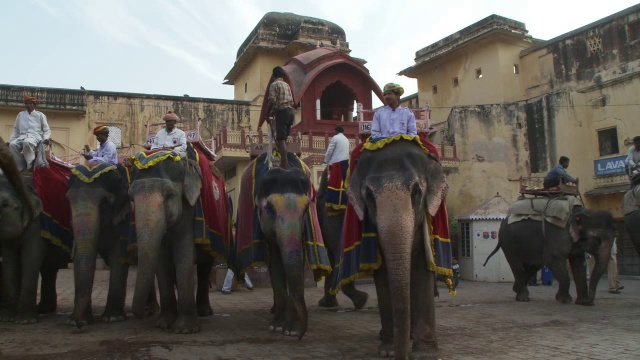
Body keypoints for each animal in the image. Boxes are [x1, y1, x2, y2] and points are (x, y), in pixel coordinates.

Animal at [0, 138, 72, 324]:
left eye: (4, 205)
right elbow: (9, 259)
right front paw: (9, 318)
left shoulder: (39, 223)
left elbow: (31, 256)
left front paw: (24, 321)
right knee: (50, 267)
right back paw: (44, 309)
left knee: (49, 266)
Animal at [234, 153, 330, 340]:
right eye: (270, 209)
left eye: (306, 208)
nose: (300, 336)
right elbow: (276, 263)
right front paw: (278, 327)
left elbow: (297, 262)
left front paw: (291, 330)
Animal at [328, 136, 452, 358]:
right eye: (369, 196)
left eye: (417, 192)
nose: (401, 357)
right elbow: (384, 274)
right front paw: (388, 351)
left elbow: (422, 270)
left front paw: (424, 355)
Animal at [484, 197, 616, 306]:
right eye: (598, 240)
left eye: (615, 237)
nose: (591, 302)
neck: (580, 211)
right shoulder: (558, 236)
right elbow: (551, 259)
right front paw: (564, 299)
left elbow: (578, 263)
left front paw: (582, 303)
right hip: (509, 242)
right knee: (517, 265)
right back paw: (523, 298)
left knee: (533, 265)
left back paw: (516, 290)